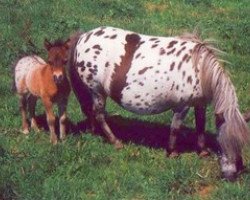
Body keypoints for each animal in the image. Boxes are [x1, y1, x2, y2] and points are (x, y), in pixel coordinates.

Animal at [67, 26, 249, 181]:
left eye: (241, 143)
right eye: (225, 141)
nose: (232, 175)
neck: (199, 69)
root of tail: (83, 36)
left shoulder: (200, 104)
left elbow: (200, 127)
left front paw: (202, 151)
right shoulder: (182, 107)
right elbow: (175, 128)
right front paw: (172, 153)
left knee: (91, 112)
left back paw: (93, 132)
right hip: (98, 91)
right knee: (98, 115)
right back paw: (115, 141)